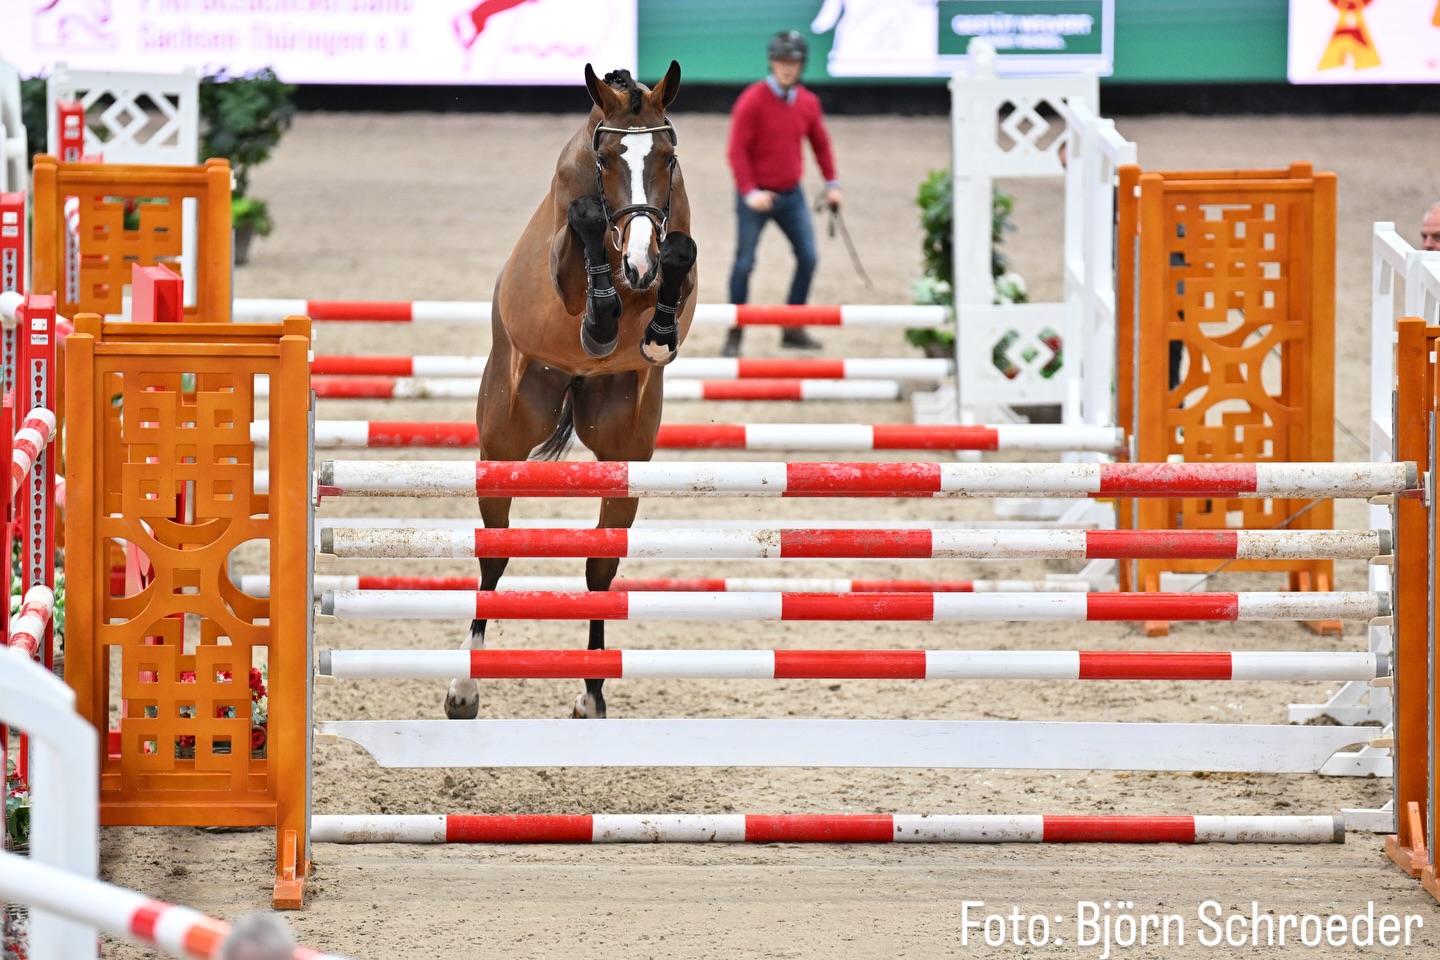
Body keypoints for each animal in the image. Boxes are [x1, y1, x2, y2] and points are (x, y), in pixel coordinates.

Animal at [444, 61, 698, 721]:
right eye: (605, 158)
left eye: (668, 155)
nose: (638, 265)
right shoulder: (567, 255)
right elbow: (582, 224)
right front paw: (601, 321)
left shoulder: (674, 253)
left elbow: (679, 252)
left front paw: (657, 333)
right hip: (506, 436)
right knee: (495, 552)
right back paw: (464, 685)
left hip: (624, 454)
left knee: (600, 570)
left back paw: (591, 692)